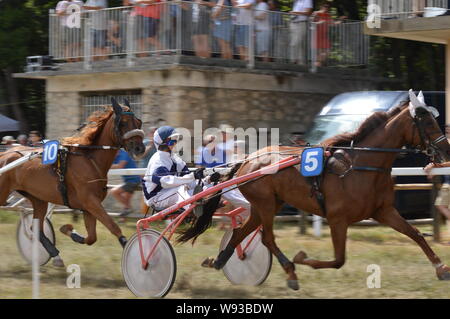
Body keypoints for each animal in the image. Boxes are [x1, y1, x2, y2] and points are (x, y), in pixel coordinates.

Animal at [0, 99, 144, 268]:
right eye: (123, 123)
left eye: (139, 122)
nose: (139, 148)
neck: (90, 160)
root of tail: (4, 154)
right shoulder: (90, 202)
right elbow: (113, 227)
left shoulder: (89, 207)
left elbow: (91, 238)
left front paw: (69, 230)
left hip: (38, 199)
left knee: (35, 228)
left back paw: (55, 256)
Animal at [184, 92, 450, 290]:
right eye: (427, 121)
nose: (445, 150)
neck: (361, 164)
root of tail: (247, 160)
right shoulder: (337, 218)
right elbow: (339, 260)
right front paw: (302, 259)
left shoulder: (383, 211)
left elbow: (416, 234)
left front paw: (441, 268)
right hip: (266, 204)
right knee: (267, 237)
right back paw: (291, 272)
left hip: (266, 204)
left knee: (241, 232)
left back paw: (219, 261)